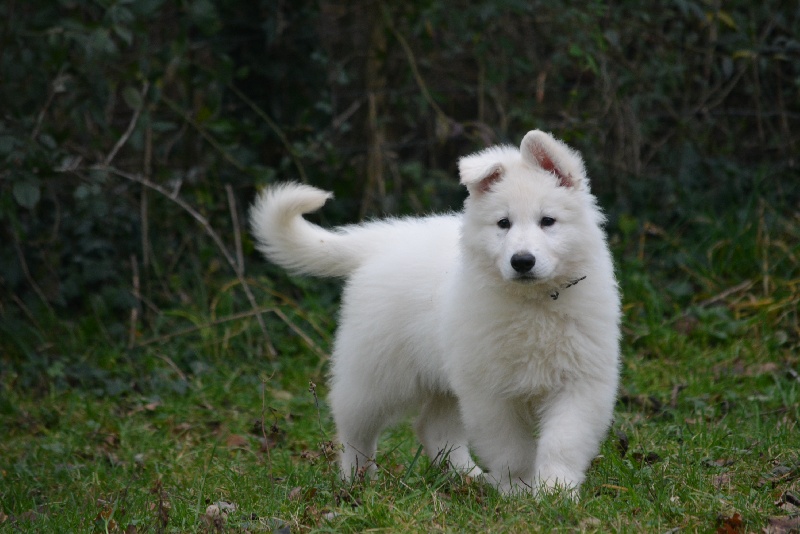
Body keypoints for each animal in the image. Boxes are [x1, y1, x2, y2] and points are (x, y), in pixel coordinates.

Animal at [250, 131, 620, 498]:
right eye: (503, 223)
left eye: (548, 221)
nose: (522, 261)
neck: (534, 302)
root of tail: (382, 241)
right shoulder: (490, 393)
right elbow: (511, 448)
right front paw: (518, 490)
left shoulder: (580, 383)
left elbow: (563, 442)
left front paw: (555, 493)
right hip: (376, 374)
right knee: (354, 427)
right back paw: (356, 479)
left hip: (443, 377)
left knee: (434, 428)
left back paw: (467, 476)